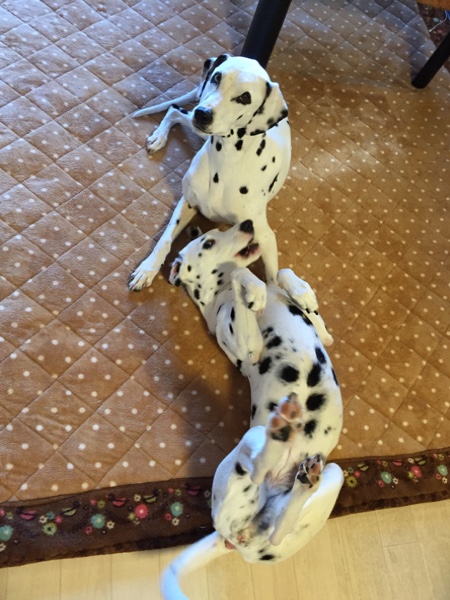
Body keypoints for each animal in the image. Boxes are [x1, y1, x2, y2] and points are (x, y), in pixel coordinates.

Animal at [128, 54, 291, 291]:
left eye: (245, 97)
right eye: (217, 77)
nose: (203, 114)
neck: (224, 162)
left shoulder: (266, 237)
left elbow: (272, 279)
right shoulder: (187, 202)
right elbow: (165, 239)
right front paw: (147, 269)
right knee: (175, 110)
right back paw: (159, 137)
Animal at [161, 221, 344, 599]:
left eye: (221, 229)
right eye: (209, 242)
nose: (246, 223)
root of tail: (232, 540)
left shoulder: (320, 335)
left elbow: (284, 276)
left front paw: (300, 292)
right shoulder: (248, 348)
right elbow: (242, 274)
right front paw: (253, 289)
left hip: (334, 474)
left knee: (278, 528)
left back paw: (304, 479)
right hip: (253, 444)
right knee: (258, 465)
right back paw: (280, 434)